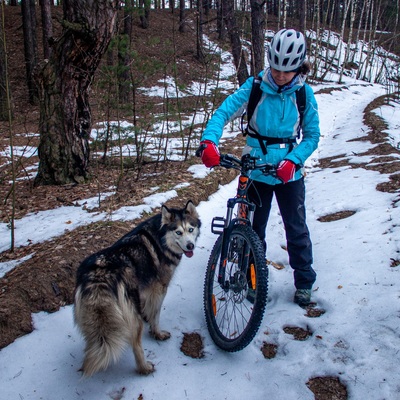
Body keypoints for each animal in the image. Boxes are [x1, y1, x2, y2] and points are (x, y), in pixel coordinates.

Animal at [72, 202, 200, 376]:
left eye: (191, 230)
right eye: (178, 232)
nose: (190, 245)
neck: (161, 239)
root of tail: (98, 276)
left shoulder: (146, 289)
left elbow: (148, 309)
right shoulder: (159, 289)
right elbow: (155, 315)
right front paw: (157, 333)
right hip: (132, 317)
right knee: (136, 344)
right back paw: (144, 368)